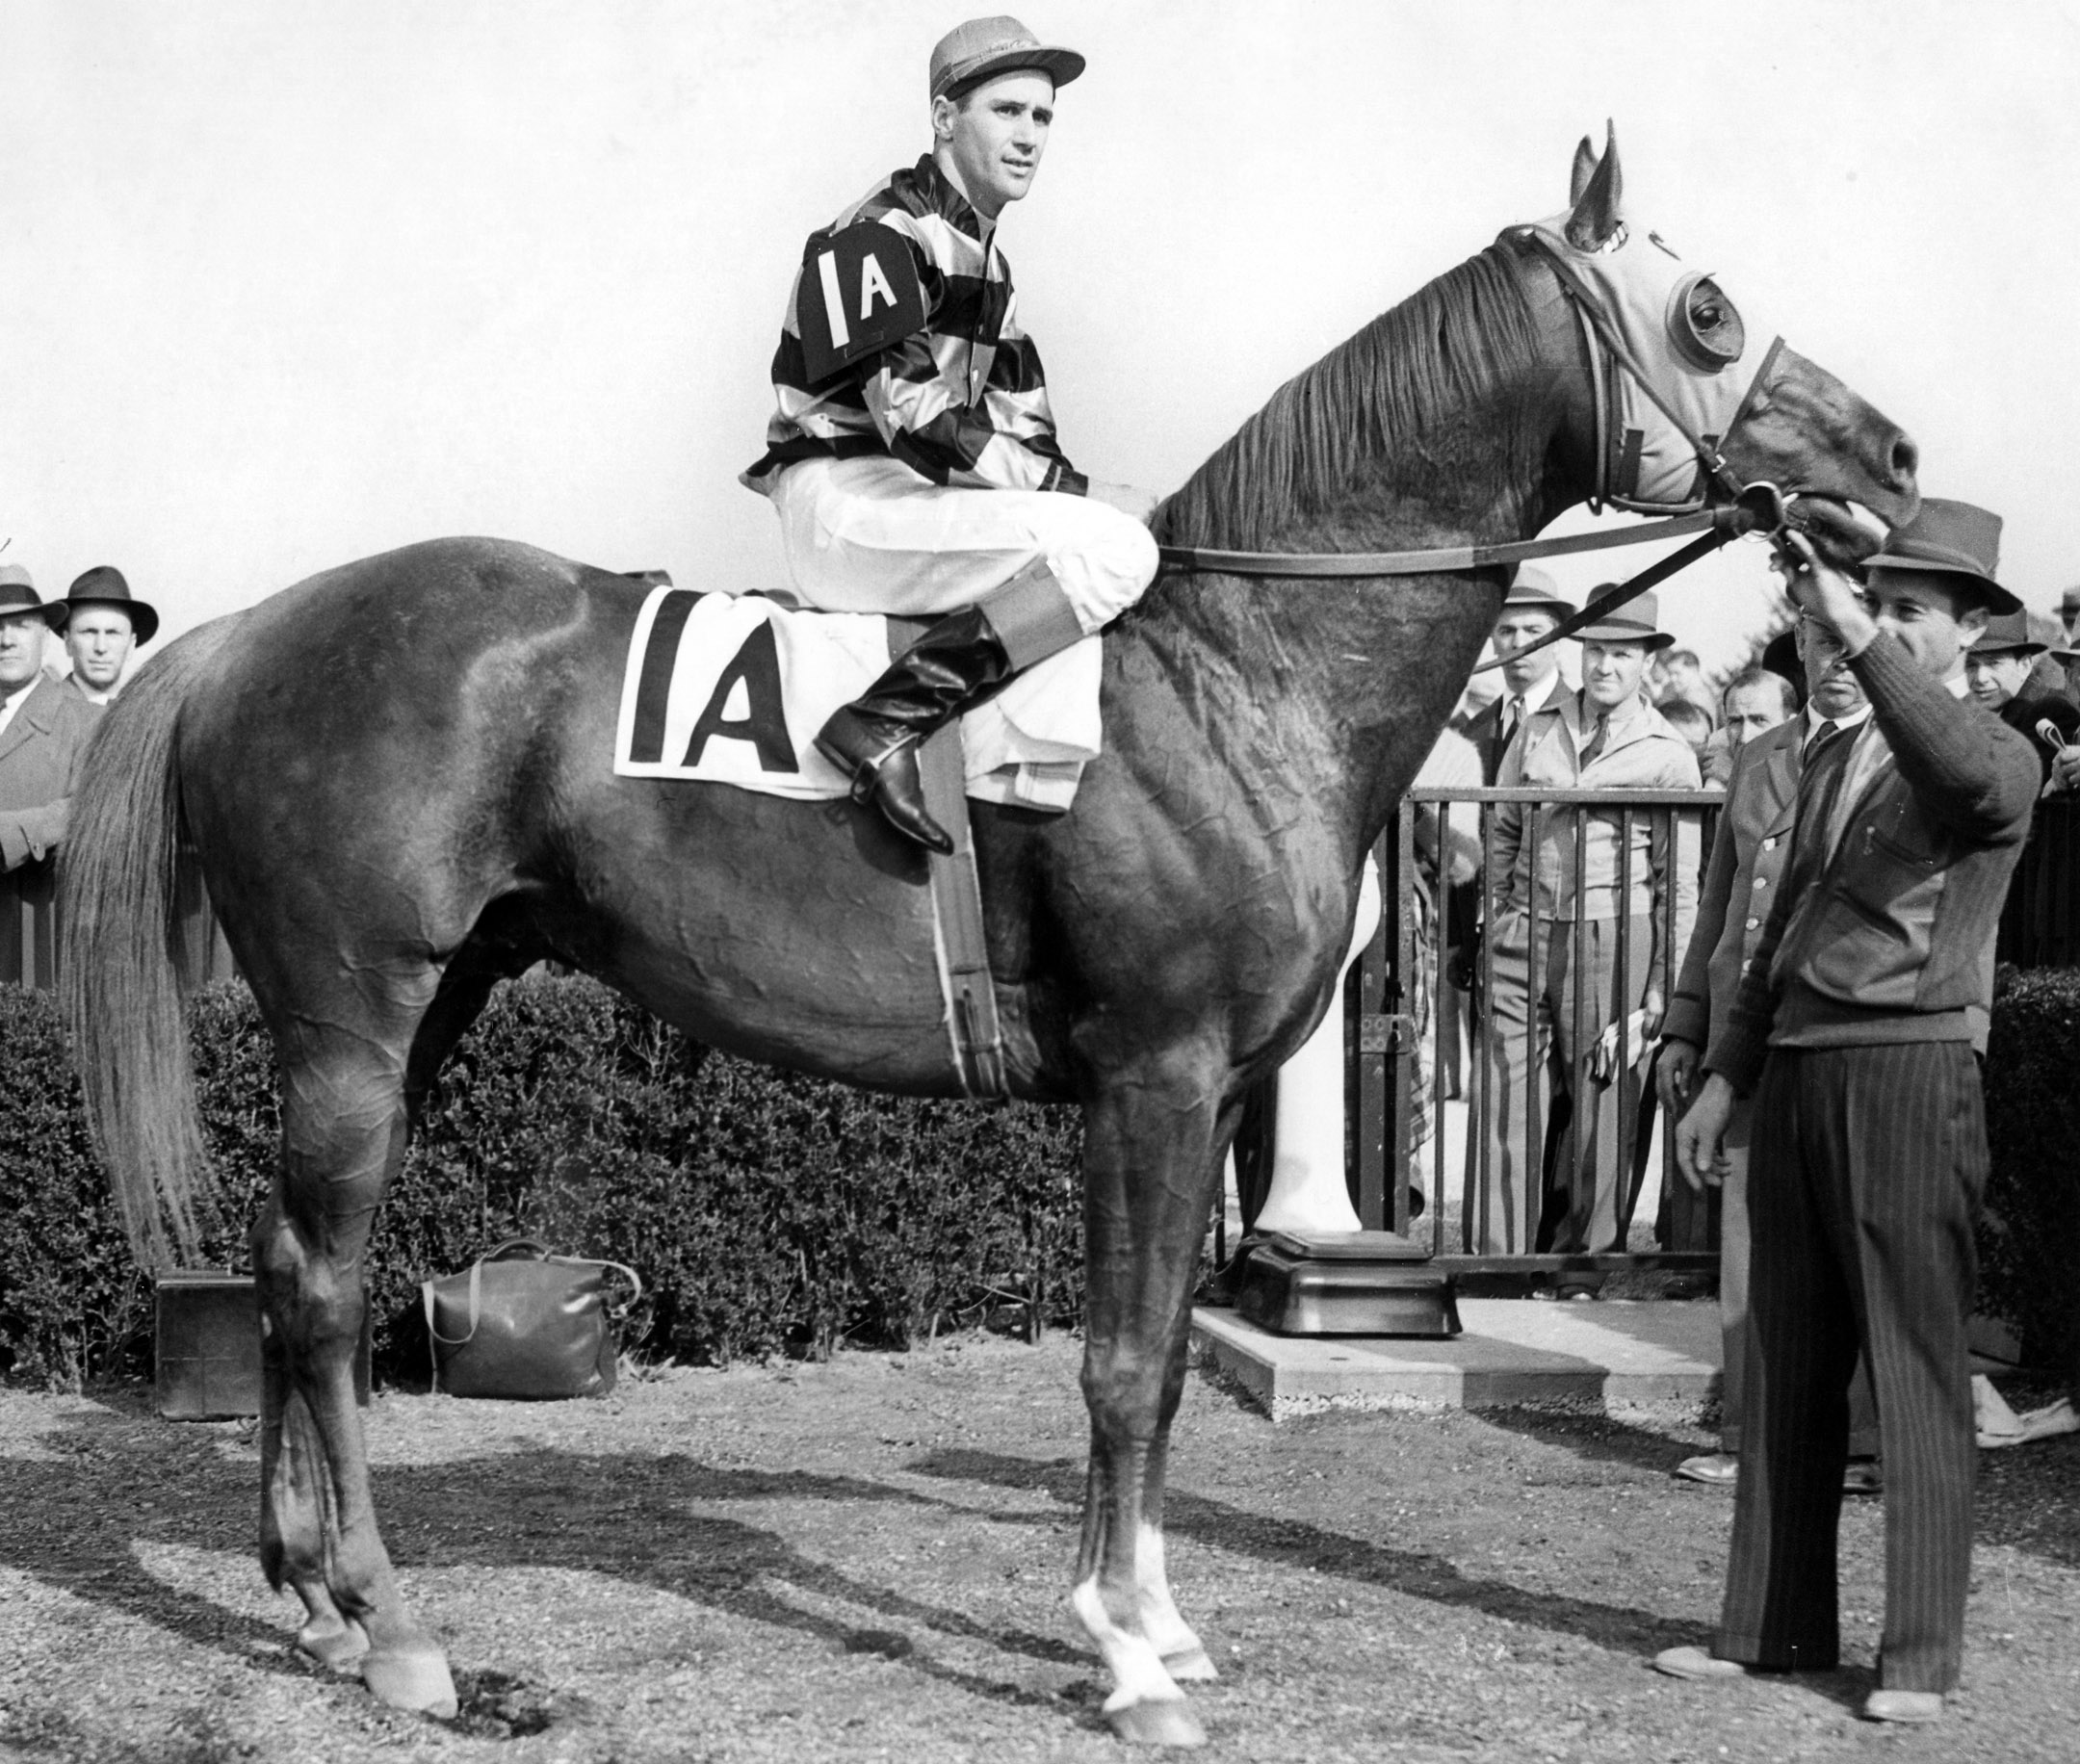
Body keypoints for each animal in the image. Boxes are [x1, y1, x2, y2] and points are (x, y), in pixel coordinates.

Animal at [65, 131, 1913, 1747]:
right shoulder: (1152, 1077)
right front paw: (1127, 1654)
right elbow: (1123, 1367)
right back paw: (402, 1634)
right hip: (354, 1019)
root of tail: (246, 631)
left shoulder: (1207, 1093)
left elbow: (1154, 1359)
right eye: (1709, 310)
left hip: (430, 1003)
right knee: (317, 1295)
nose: (1892, 456)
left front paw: (1156, 1619)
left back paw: (310, 1602)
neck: (1237, 669)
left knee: (292, 1264)